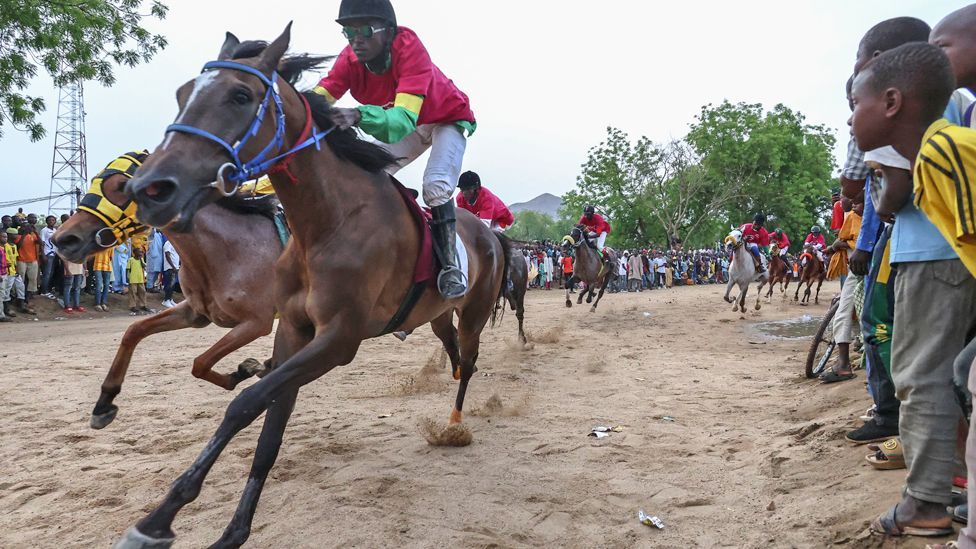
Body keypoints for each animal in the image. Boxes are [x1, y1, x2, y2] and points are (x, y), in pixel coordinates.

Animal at [53, 157, 280, 428]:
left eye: (121, 186)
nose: (63, 239)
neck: (228, 249)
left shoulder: (257, 322)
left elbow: (200, 363)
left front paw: (244, 371)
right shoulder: (195, 313)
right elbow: (134, 331)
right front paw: (104, 402)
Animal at [118, 26, 508, 548]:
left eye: (240, 96)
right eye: (183, 94)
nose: (150, 188)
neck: (324, 223)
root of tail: (489, 233)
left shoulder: (339, 339)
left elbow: (244, 403)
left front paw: (159, 518)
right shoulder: (293, 330)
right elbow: (270, 429)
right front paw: (231, 531)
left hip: (474, 311)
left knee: (468, 361)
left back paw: (454, 424)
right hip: (438, 314)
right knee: (455, 355)